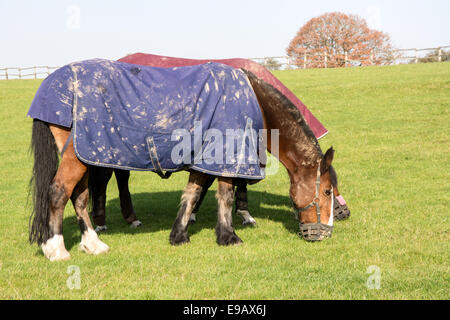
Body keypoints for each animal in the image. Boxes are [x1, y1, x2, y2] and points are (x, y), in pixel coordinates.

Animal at [29, 69, 338, 260]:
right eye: (326, 191)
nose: (324, 233)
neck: (252, 100)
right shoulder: (224, 155)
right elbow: (225, 195)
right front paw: (228, 236)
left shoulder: (205, 160)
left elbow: (192, 193)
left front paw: (179, 234)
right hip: (78, 156)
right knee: (58, 192)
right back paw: (56, 249)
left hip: (83, 157)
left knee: (79, 197)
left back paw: (93, 243)